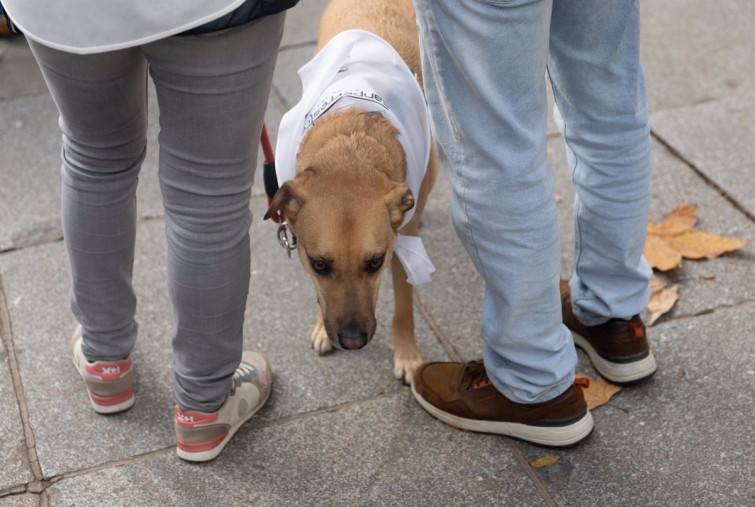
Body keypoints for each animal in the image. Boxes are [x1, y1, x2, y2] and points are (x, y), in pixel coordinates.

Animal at [266, 0, 440, 382]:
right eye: (320, 264)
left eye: (374, 263)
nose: (352, 341)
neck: (350, 148)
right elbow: (319, 294)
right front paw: (321, 326)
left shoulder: (401, 238)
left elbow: (405, 302)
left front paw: (406, 353)